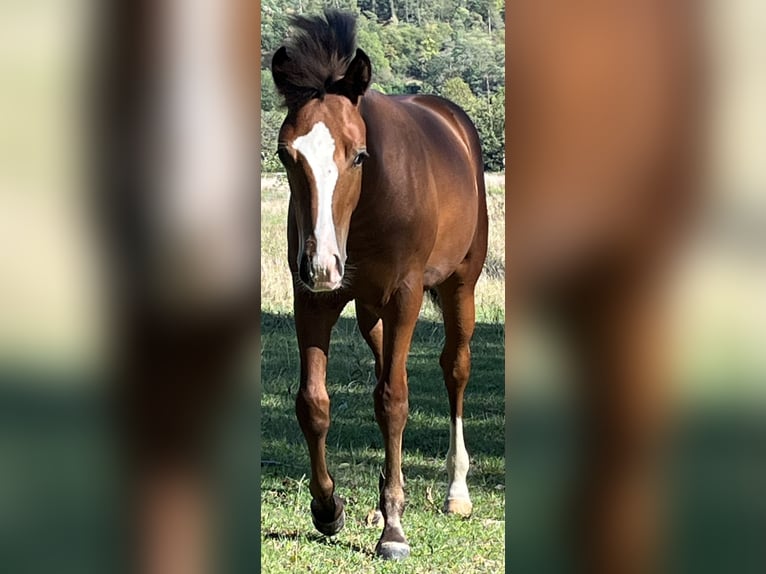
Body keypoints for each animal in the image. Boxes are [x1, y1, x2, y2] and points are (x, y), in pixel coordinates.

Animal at [271, 11, 488, 560]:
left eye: (359, 156)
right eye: (286, 155)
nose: (323, 264)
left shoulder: (404, 297)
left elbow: (393, 402)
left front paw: (393, 529)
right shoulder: (314, 302)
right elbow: (314, 402)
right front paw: (329, 508)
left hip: (460, 287)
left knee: (454, 370)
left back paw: (456, 491)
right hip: (370, 311)